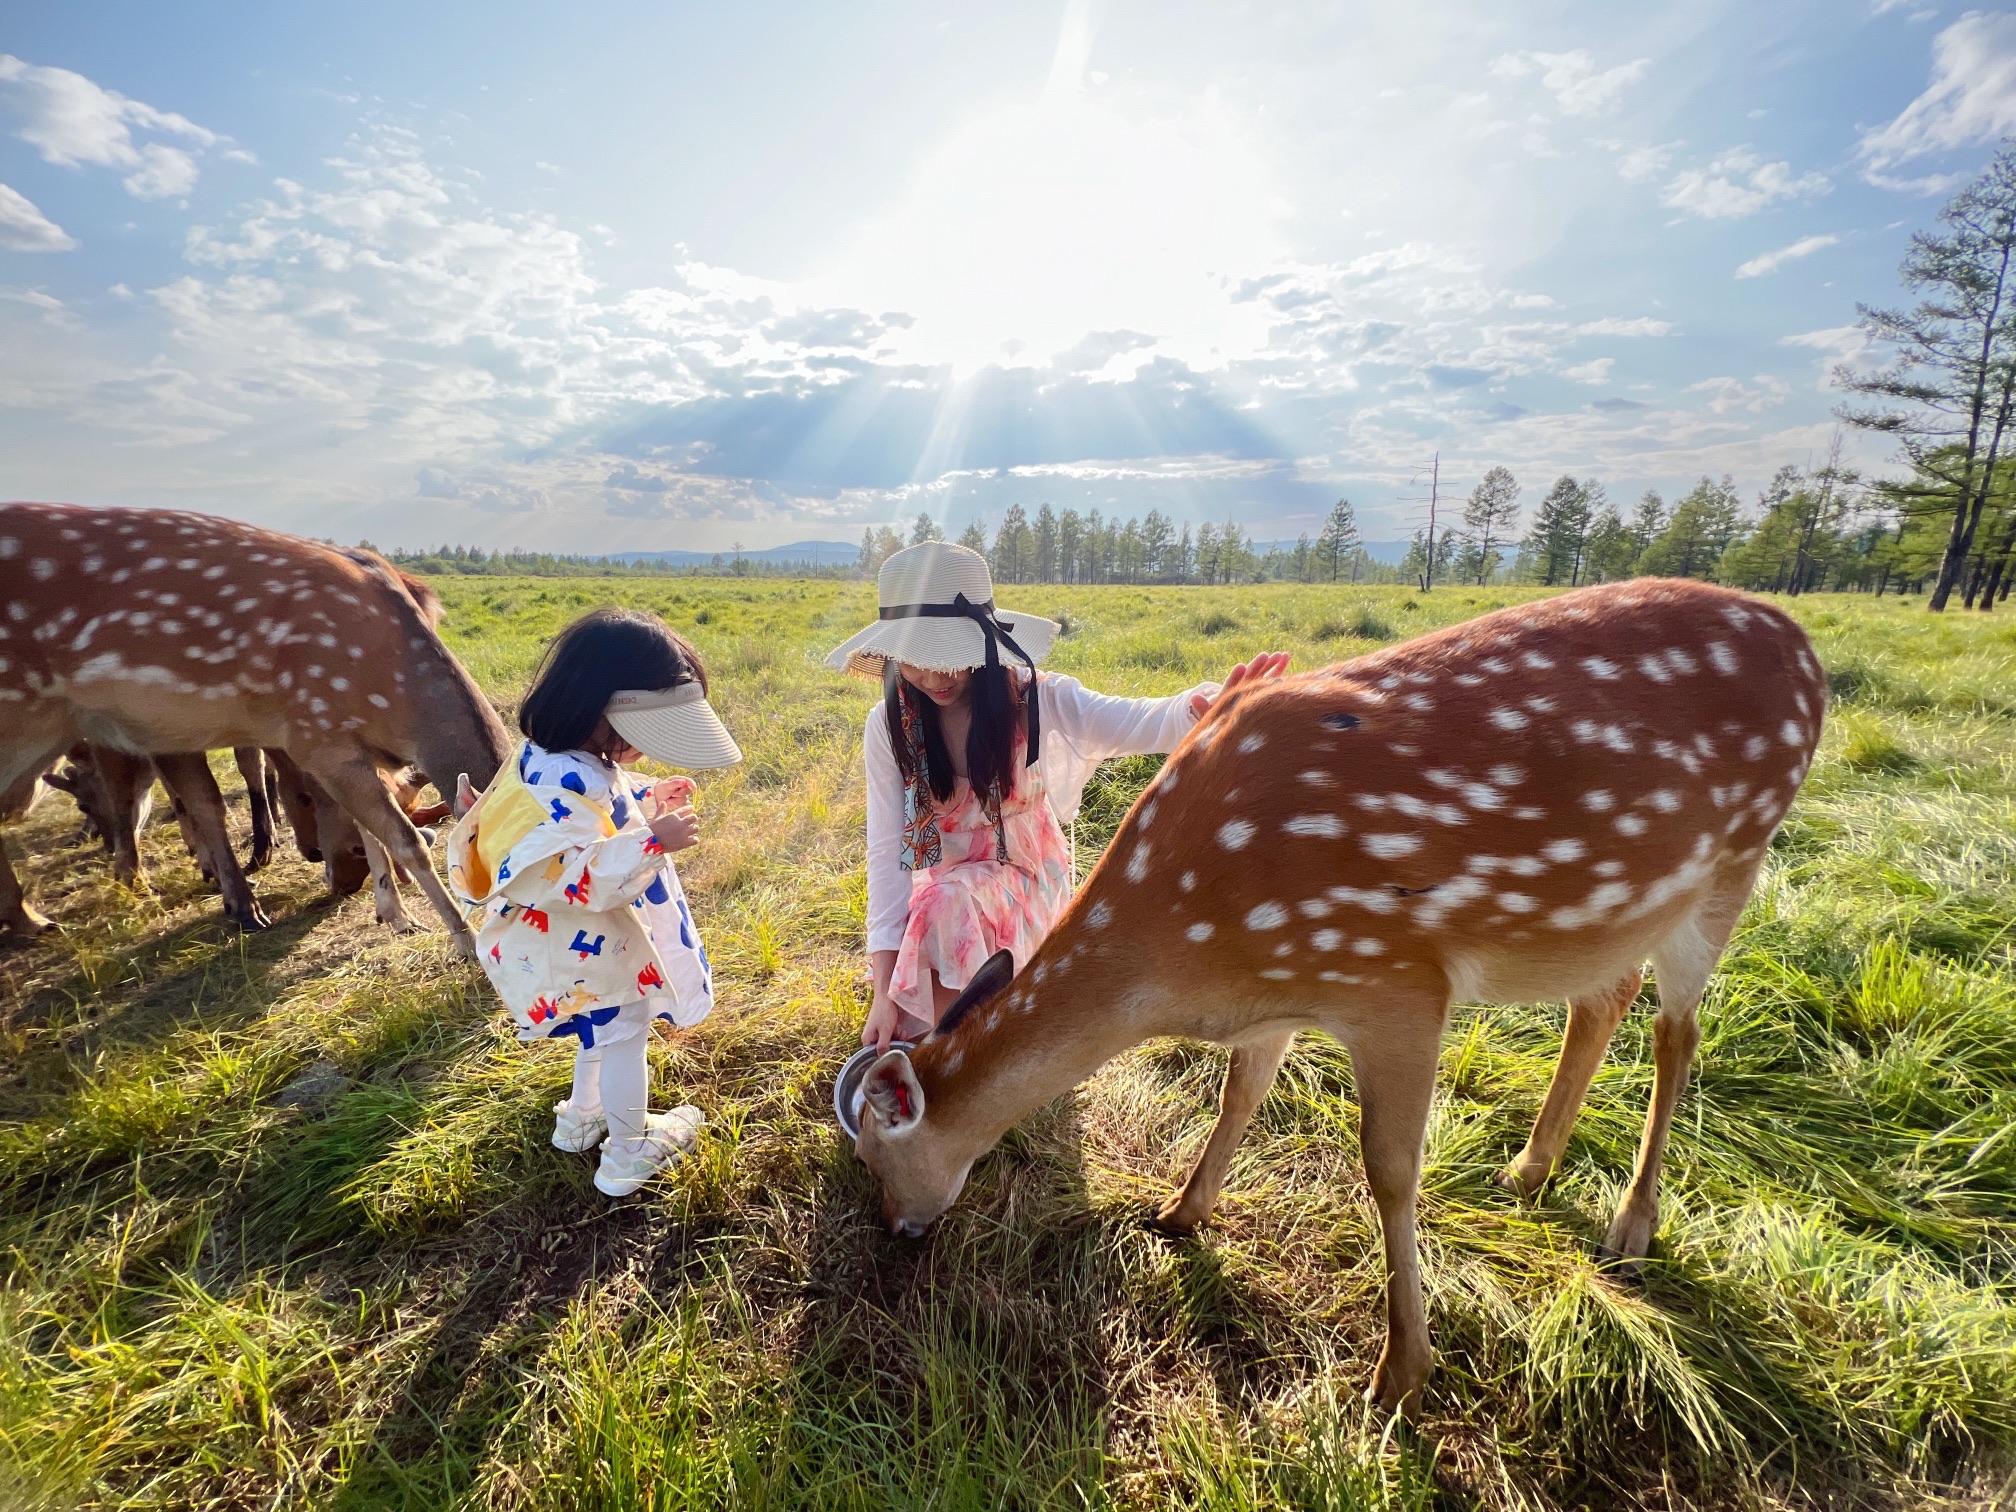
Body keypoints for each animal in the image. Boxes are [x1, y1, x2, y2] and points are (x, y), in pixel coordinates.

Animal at [850, 579, 1827, 1415]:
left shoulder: (1394, 977)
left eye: (873, 1156)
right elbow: (1240, 1094)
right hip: (1624, 910)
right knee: (1607, 995)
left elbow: (1390, 1167)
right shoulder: (1286, 992)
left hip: (1736, 857)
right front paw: (1180, 1212)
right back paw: (1528, 1168)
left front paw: (1402, 1372)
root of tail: (1809, 651)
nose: (895, 1228)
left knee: (1677, 1030)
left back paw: (1631, 1225)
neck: (1192, 950)